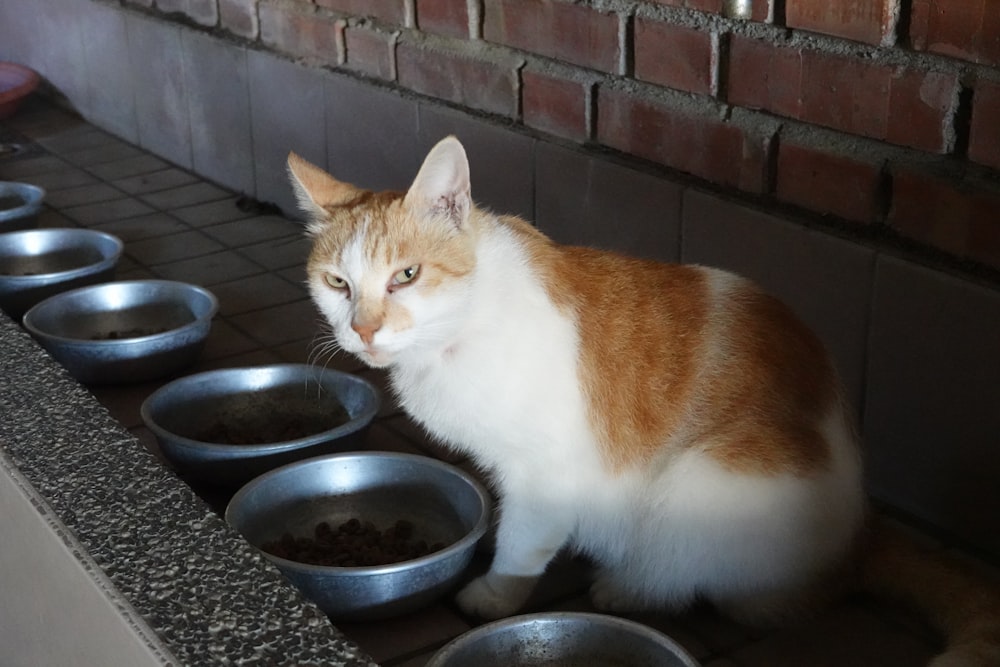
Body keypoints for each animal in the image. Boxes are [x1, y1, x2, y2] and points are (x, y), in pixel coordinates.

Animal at [290, 137, 1000, 667]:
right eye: (338, 283)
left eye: (406, 275)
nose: (364, 330)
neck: (459, 331)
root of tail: (861, 529)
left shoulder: (547, 472)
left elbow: (522, 539)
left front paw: (494, 594)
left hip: (710, 474)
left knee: (725, 589)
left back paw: (628, 585)